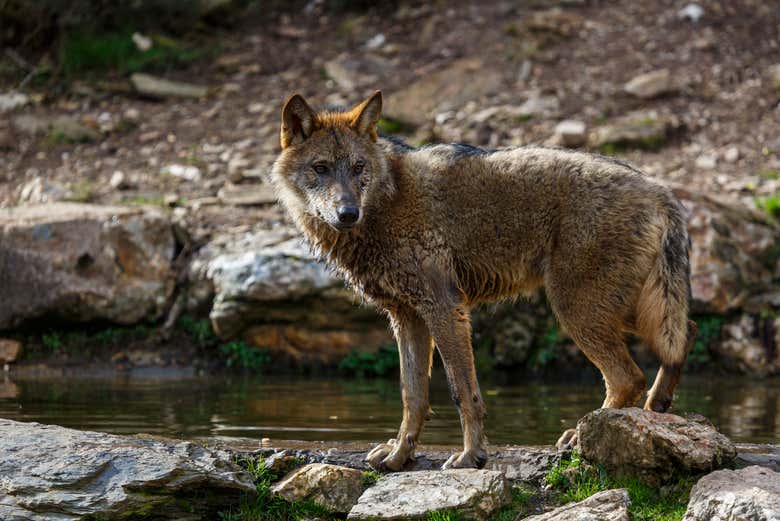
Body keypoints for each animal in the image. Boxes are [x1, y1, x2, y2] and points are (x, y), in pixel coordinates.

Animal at [272, 90, 696, 472]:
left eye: (359, 167)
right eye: (321, 168)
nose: (347, 213)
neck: (387, 202)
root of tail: (660, 190)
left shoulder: (445, 309)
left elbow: (463, 392)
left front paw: (470, 456)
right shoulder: (407, 318)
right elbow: (413, 396)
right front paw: (398, 456)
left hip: (577, 311)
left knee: (630, 376)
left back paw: (582, 435)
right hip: (626, 310)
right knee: (682, 338)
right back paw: (653, 412)